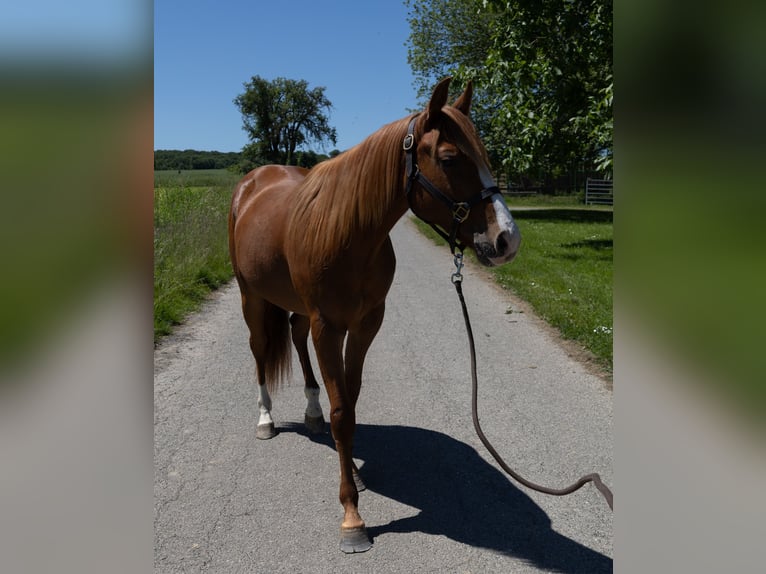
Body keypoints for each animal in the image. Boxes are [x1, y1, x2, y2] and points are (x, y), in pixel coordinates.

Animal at [228, 77, 521, 553]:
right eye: (449, 158)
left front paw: (354, 474)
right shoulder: (329, 328)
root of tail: (251, 184)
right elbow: (342, 413)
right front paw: (352, 515)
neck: (347, 231)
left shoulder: (366, 325)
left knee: (295, 338)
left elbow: (349, 402)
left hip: (297, 310)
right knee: (258, 350)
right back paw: (266, 419)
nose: (506, 240)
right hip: (250, 296)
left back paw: (310, 412)